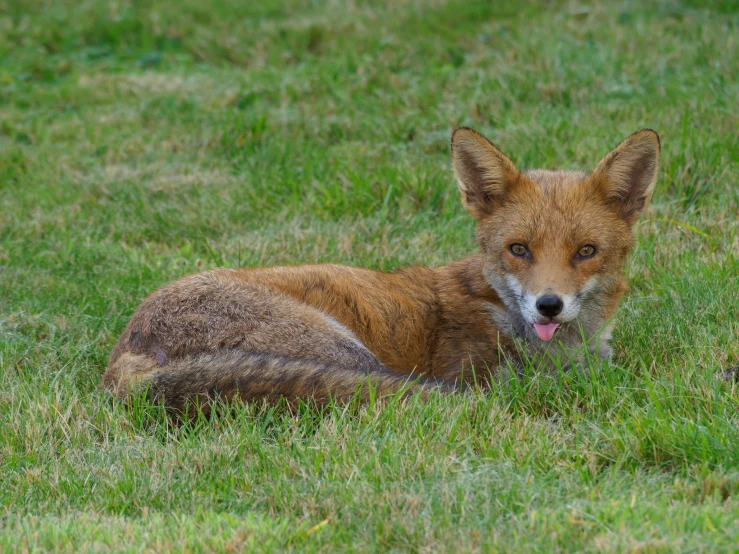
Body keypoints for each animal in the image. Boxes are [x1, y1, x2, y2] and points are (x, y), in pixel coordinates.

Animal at [102, 125, 660, 410]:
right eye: (519, 249)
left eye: (585, 251)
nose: (548, 305)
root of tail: (125, 355)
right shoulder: (474, 371)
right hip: (348, 353)